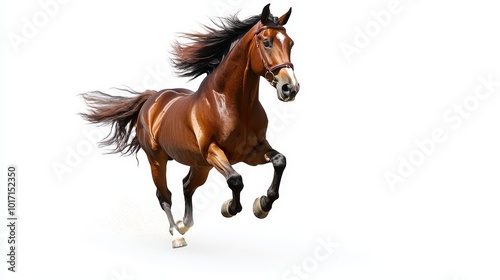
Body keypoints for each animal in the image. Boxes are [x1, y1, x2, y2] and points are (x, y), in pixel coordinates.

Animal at [81, 4, 298, 248]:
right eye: (267, 42)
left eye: (290, 43)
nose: (290, 88)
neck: (232, 103)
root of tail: (152, 99)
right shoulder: (214, 152)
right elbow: (236, 180)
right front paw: (230, 208)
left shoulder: (253, 152)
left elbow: (280, 161)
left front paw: (262, 205)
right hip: (158, 160)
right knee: (164, 195)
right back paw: (177, 235)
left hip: (200, 165)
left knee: (187, 185)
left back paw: (184, 224)